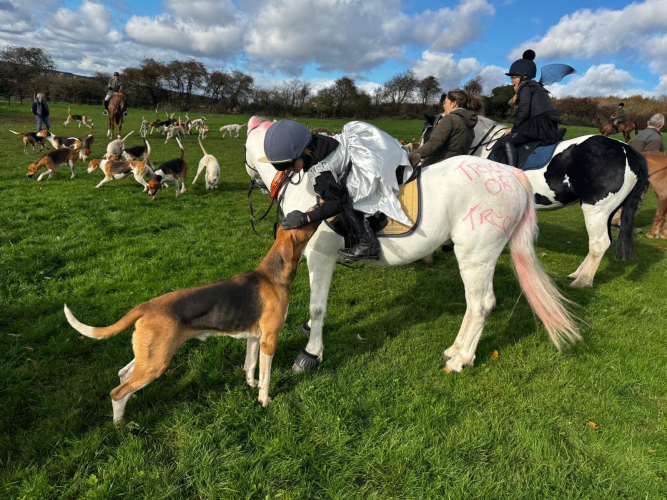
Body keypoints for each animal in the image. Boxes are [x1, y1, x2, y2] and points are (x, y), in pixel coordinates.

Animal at [244, 117, 580, 374]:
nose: (259, 185)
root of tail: (511, 174)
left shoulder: (319, 255)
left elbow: (317, 307)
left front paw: (311, 353)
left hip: (476, 256)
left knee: (481, 305)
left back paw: (460, 359)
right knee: (474, 305)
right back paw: (455, 351)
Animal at [420, 114, 649, 288]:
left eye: (428, 133)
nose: (421, 158)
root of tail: (628, 151)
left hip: (596, 210)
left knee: (600, 243)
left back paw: (583, 280)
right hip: (607, 212)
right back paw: (578, 274)